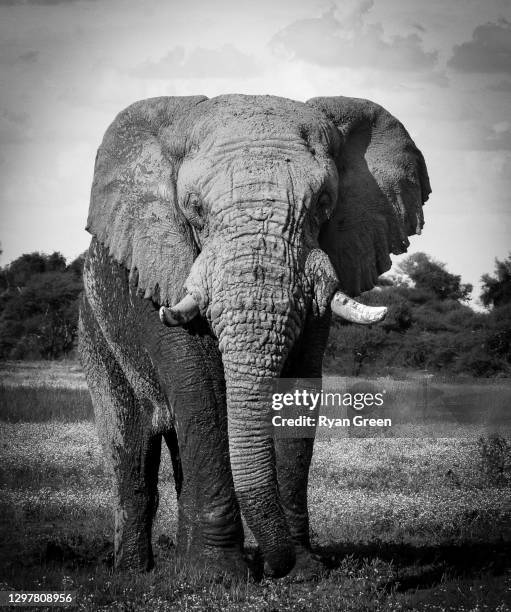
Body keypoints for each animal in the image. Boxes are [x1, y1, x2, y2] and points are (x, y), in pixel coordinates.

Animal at [79, 92, 432, 580]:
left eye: (324, 203)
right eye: (194, 208)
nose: (274, 567)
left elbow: (299, 389)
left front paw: (302, 571)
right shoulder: (160, 276)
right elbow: (203, 392)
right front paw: (220, 577)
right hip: (96, 330)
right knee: (130, 448)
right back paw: (135, 573)